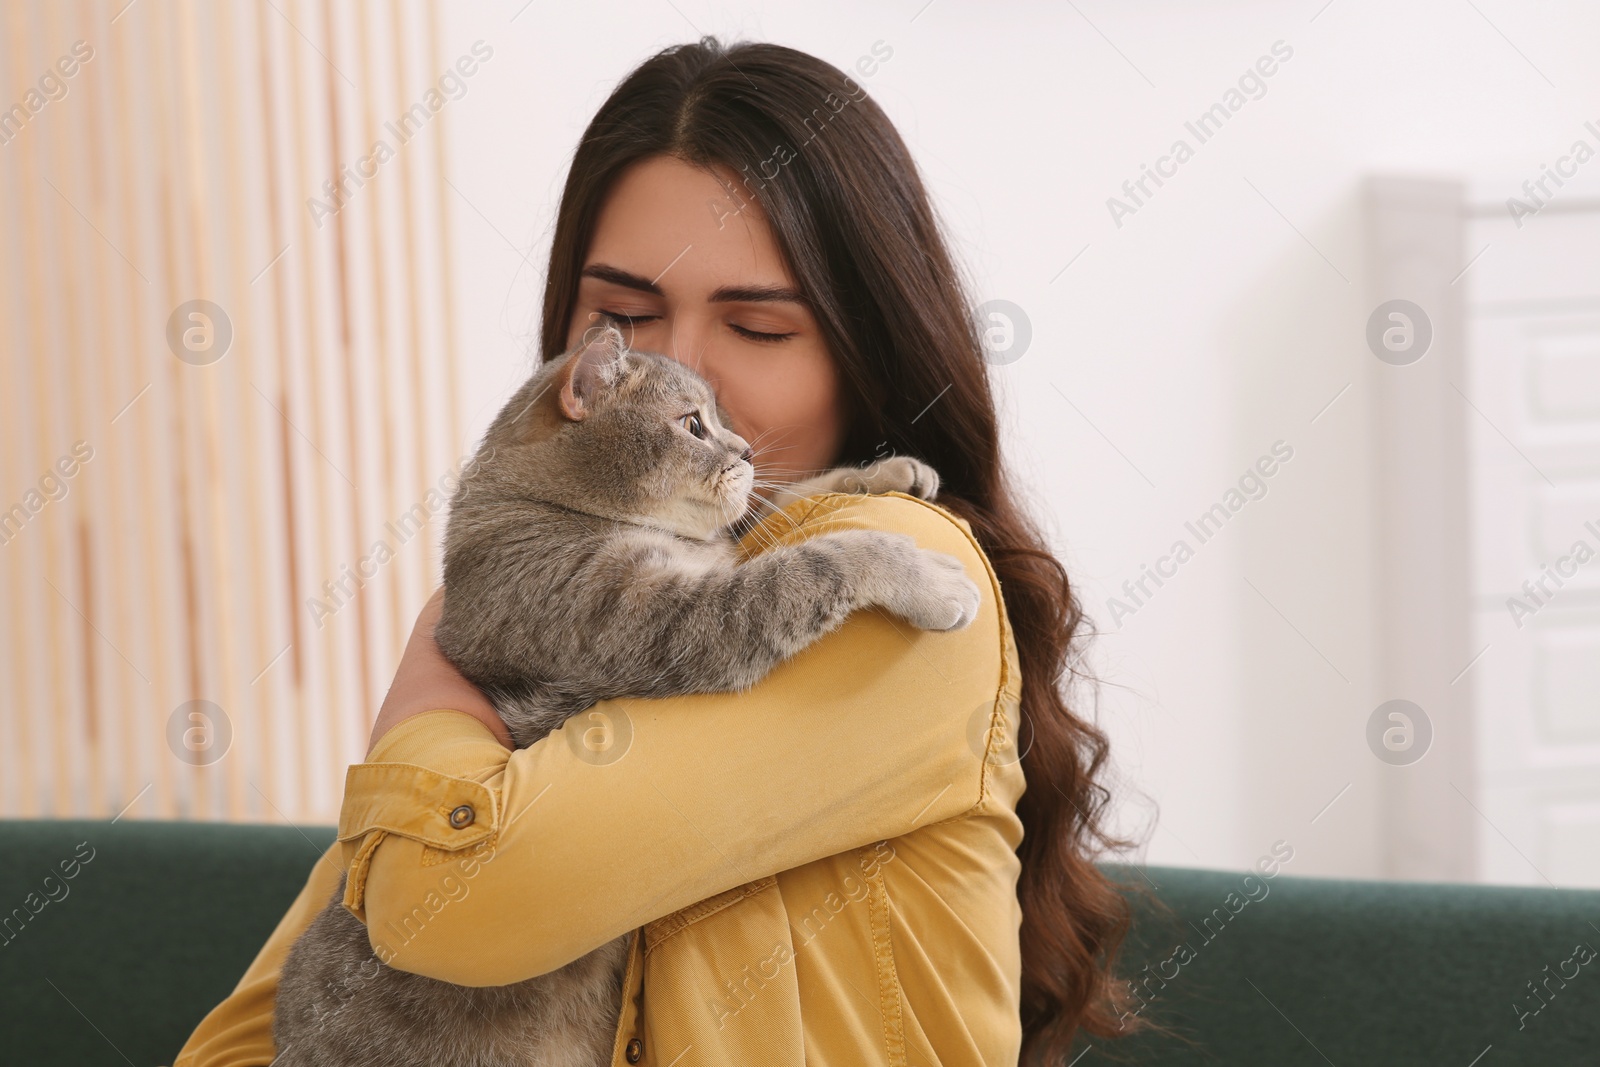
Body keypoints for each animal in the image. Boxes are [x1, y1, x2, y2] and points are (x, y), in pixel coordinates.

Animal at [268, 326, 979, 1067]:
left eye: (719, 418)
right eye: (693, 424)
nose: (748, 449)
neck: (547, 509)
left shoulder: (714, 561)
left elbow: (781, 506)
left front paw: (888, 471)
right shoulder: (670, 621)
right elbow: (810, 563)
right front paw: (926, 573)